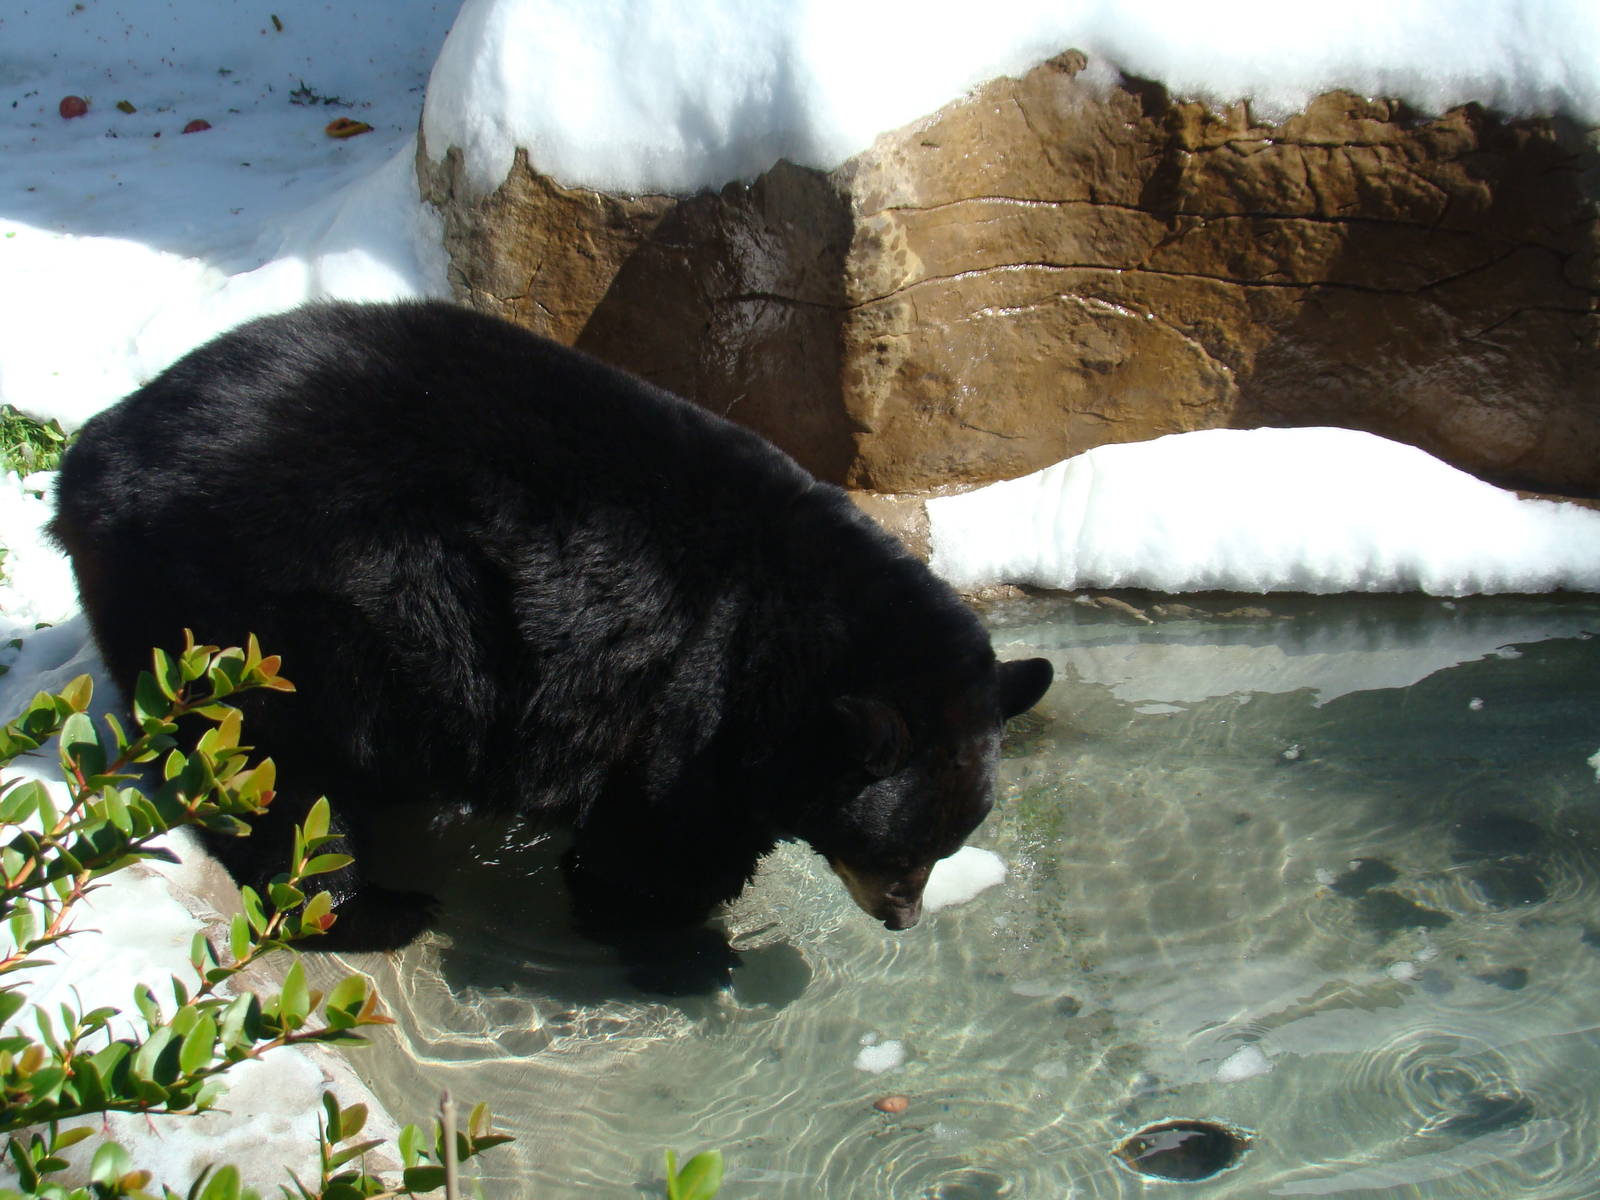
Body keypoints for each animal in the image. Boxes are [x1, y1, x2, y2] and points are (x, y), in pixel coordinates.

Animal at [50, 300, 1052, 968]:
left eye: (945, 847)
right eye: (899, 851)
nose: (902, 917)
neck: (789, 636)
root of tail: (87, 465)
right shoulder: (691, 697)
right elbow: (655, 839)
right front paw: (685, 945)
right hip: (266, 615)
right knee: (275, 781)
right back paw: (376, 909)